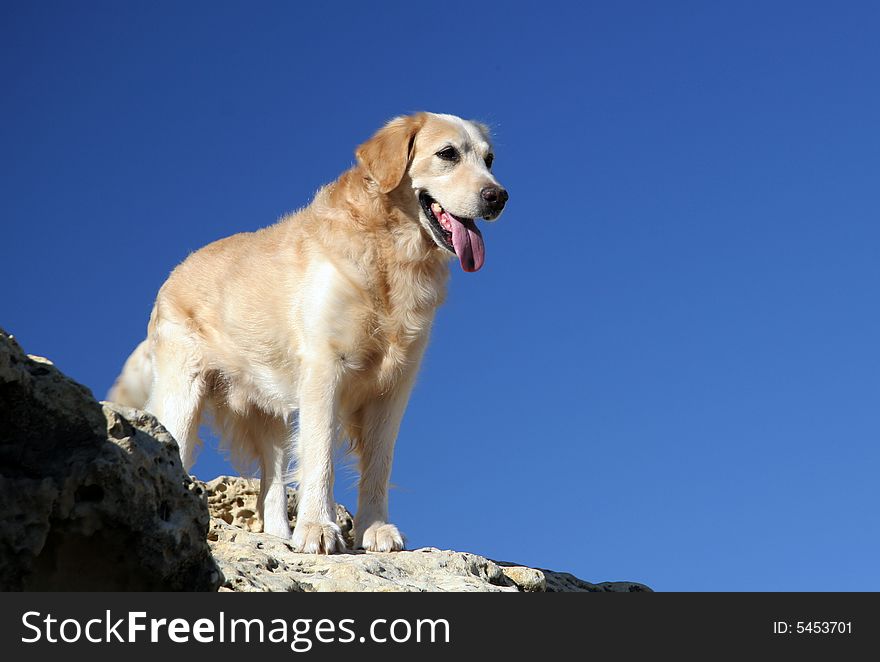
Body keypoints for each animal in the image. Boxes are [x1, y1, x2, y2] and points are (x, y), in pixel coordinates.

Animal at [110, 113, 508, 556]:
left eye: (490, 159)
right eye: (447, 154)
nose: (499, 197)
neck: (389, 251)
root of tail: (171, 275)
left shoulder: (394, 386)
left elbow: (379, 463)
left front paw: (375, 528)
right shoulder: (324, 370)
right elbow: (320, 457)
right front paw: (319, 527)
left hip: (270, 415)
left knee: (271, 487)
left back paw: (278, 537)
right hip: (182, 398)